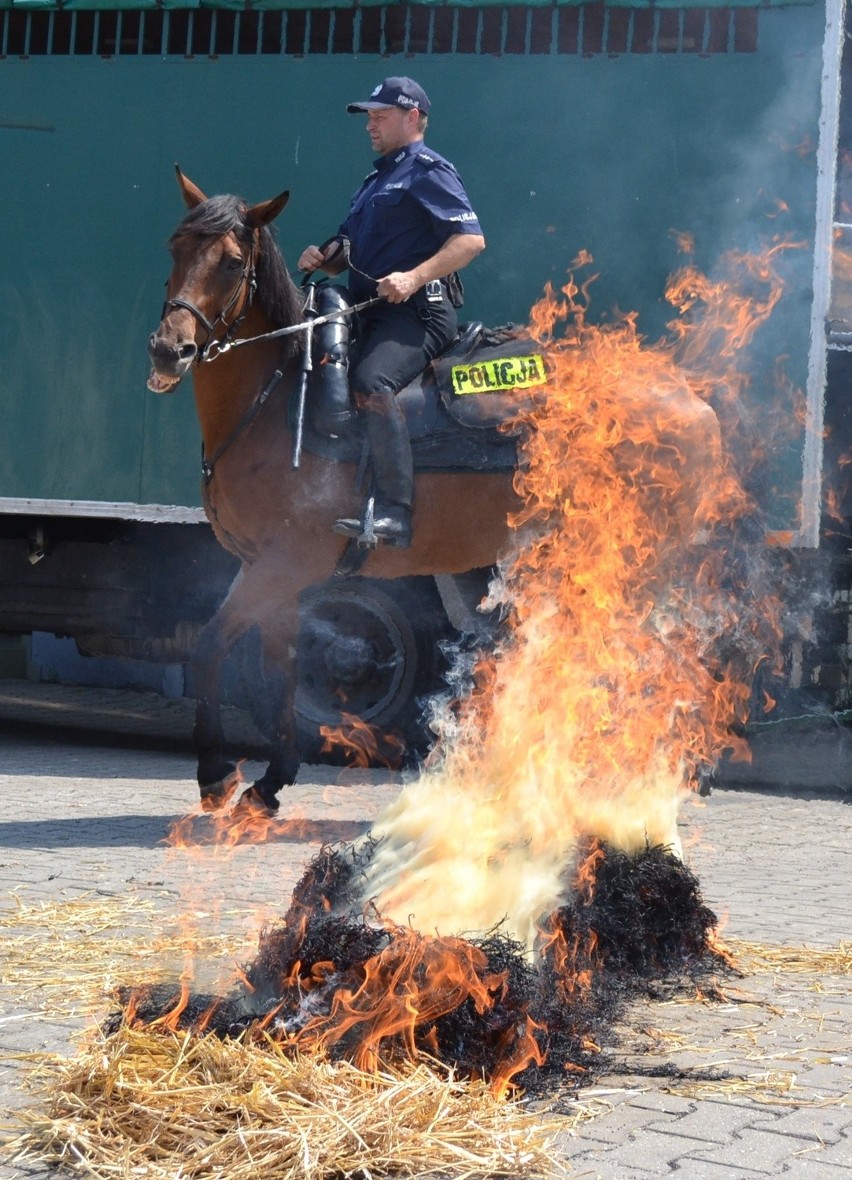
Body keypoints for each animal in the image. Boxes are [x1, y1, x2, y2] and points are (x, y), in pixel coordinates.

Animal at [146, 168, 516, 811]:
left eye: (232, 262)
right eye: (176, 248)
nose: (170, 350)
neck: (272, 399)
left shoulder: (287, 561)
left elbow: (212, 644)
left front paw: (216, 773)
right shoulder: (265, 565)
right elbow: (281, 663)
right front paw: (271, 781)